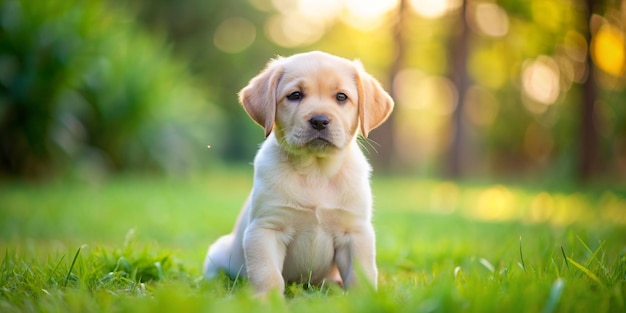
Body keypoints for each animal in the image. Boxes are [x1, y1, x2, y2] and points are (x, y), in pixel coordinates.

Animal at [204, 50, 390, 292]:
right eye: (295, 95)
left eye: (341, 97)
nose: (319, 121)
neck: (316, 172)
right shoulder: (265, 229)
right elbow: (268, 274)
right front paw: (267, 299)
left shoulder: (356, 232)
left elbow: (362, 274)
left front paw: (364, 297)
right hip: (218, 251)